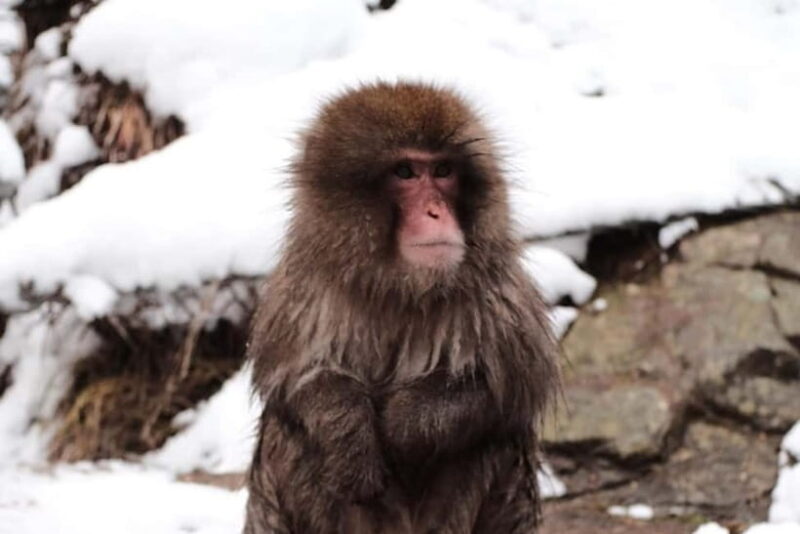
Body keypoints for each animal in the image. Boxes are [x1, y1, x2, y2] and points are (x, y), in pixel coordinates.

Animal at [244, 81, 559, 534]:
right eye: (405, 172)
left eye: (443, 172)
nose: (435, 211)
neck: (399, 285)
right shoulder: (305, 287)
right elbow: (291, 381)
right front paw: (347, 431)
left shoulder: (495, 290)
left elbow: (511, 386)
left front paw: (402, 424)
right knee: (287, 434)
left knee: (491, 441)